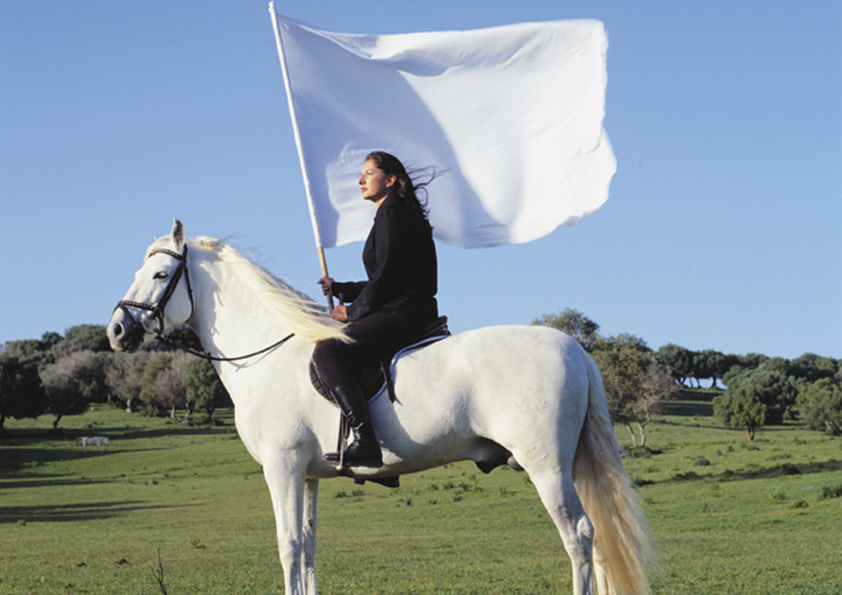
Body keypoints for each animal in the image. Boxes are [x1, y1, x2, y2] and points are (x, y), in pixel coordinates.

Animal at [106, 220, 656, 595]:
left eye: (160, 273)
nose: (116, 330)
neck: (269, 352)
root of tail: (574, 346)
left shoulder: (282, 469)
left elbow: (288, 547)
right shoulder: (308, 475)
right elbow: (307, 550)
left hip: (547, 467)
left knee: (580, 535)